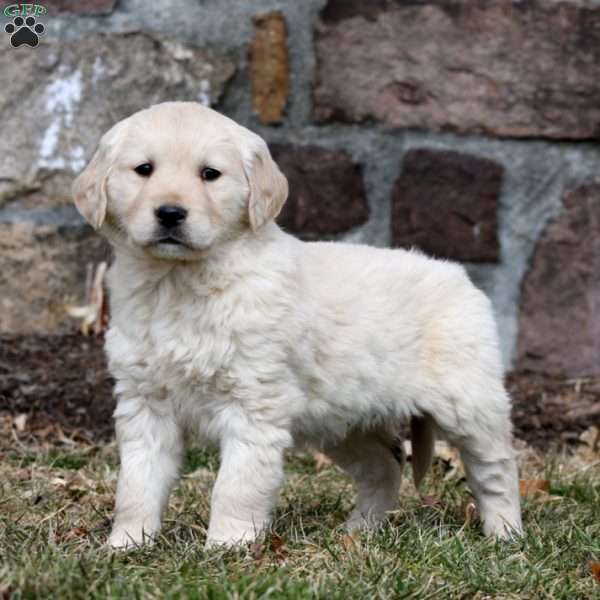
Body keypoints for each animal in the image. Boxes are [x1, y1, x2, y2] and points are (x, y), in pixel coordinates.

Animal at [72, 103, 524, 548]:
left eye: (210, 174)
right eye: (144, 169)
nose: (169, 213)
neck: (178, 282)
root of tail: (461, 276)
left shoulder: (253, 404)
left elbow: (235, 485)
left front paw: (227, 547)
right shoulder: (145, 402)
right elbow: (137, 483)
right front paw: (127, 543)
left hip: (468, 402)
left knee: (497, 469)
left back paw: (506, 534)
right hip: (344, 419)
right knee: (386, 465)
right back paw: (359, 532)